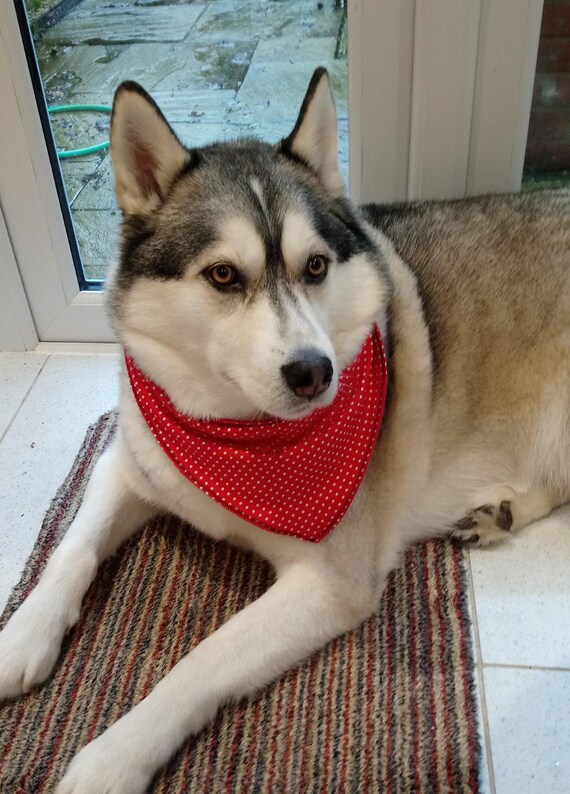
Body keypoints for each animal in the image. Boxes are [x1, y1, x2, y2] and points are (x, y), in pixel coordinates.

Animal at [1, 69, 568, 792]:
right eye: (222, 274)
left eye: (316, 266)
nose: (313, 372)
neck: (236, 436)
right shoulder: (129, 462)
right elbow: (71, 549)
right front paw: (21, 636)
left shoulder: (331, 585)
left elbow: (202, 660)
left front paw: (113, 756)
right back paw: (501, 510)